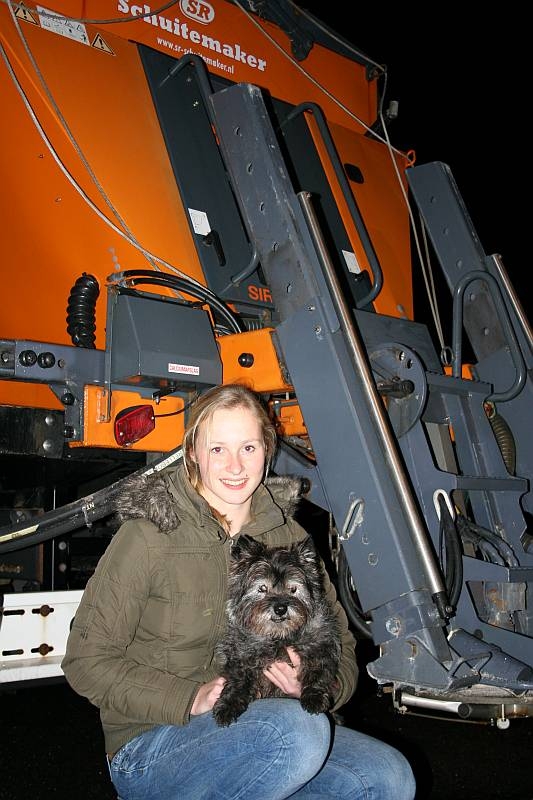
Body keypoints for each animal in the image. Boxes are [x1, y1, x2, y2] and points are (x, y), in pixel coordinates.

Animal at [210, 536, 338, 728]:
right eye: (262, 588)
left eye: (293, 589)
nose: (280, 609)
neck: (279, 637)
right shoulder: (241, 654)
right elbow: (237, 680)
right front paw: (228, 705)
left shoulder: (320, 645)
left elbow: (317, 670)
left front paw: (314, 697)